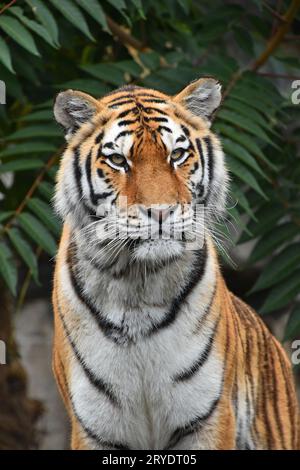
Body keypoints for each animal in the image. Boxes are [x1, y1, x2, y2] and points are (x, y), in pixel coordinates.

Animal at [51, 78, 298, 452]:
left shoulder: (209, 417)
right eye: (118, 160)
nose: (161, 212)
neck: (136, 284)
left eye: (177, 155)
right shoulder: (94, 428)